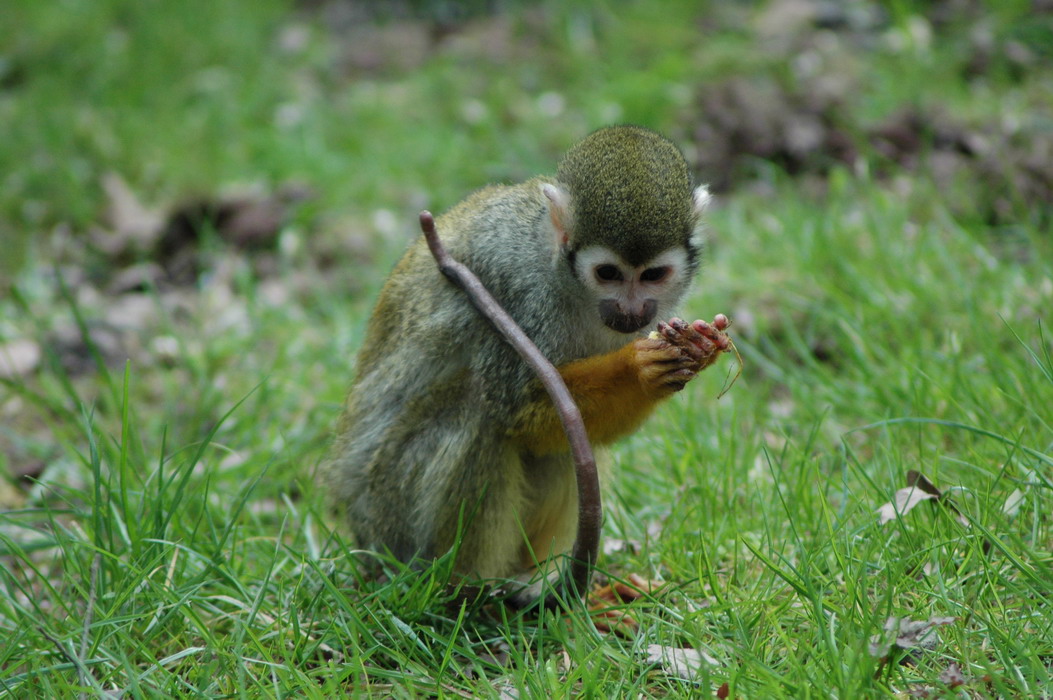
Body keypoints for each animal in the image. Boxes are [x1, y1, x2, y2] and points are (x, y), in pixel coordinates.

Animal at [324, 124, 728, 602]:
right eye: (608, 274)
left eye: (653, 275)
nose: (631, 310)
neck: (564, 278)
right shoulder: (517, 289)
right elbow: (518, 408)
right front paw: (640, 369)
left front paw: (696, 349)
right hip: (390, 515)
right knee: (478, 413)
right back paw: (463, 588)